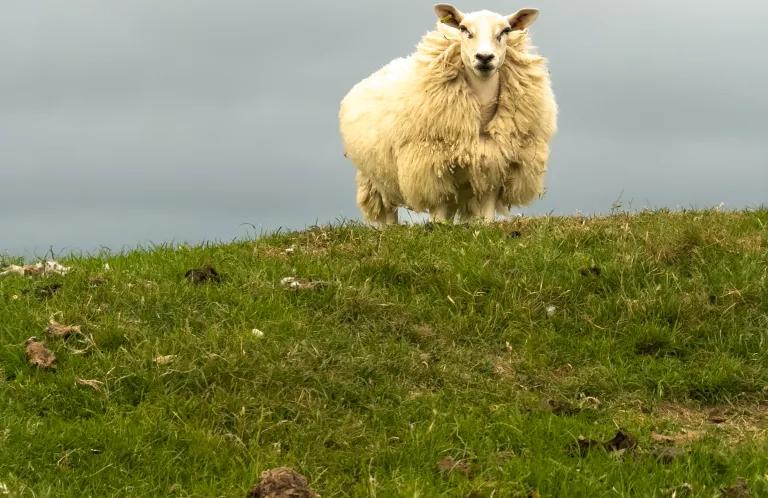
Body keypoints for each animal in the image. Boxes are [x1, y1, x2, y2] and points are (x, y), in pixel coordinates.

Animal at [339, 4, 557, 224]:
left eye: (505, 31)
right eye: (463, 29)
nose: (484, 57)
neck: (481, 115)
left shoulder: (493, 163)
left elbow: (487, 210)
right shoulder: (431, 165)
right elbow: (439, 208)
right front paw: (438, 227)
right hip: (376, 176)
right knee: (388, 210)